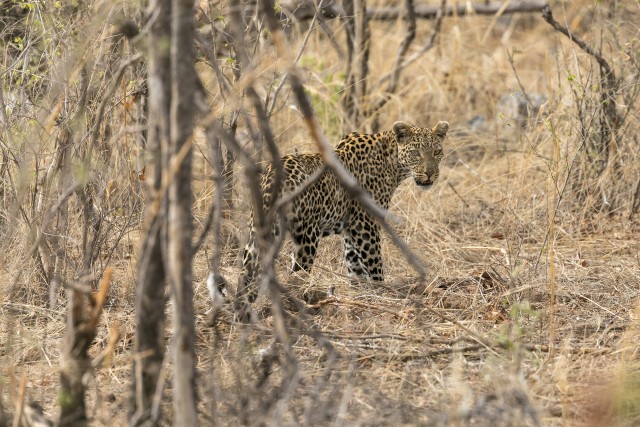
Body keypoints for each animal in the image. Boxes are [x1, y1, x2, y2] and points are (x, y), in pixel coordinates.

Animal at [238, 120, 449, 307]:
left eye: (437, 152)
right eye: (416, 153)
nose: (430, 173)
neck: (392, 163)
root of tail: (271, 176)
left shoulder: (350, 229)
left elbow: (354, 267)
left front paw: (360, 297)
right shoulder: (365, 224)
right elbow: (374, 265)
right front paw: (383, 295)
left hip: (256, 233)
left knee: (247, 275)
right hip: (306, 238)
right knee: (296, 276)